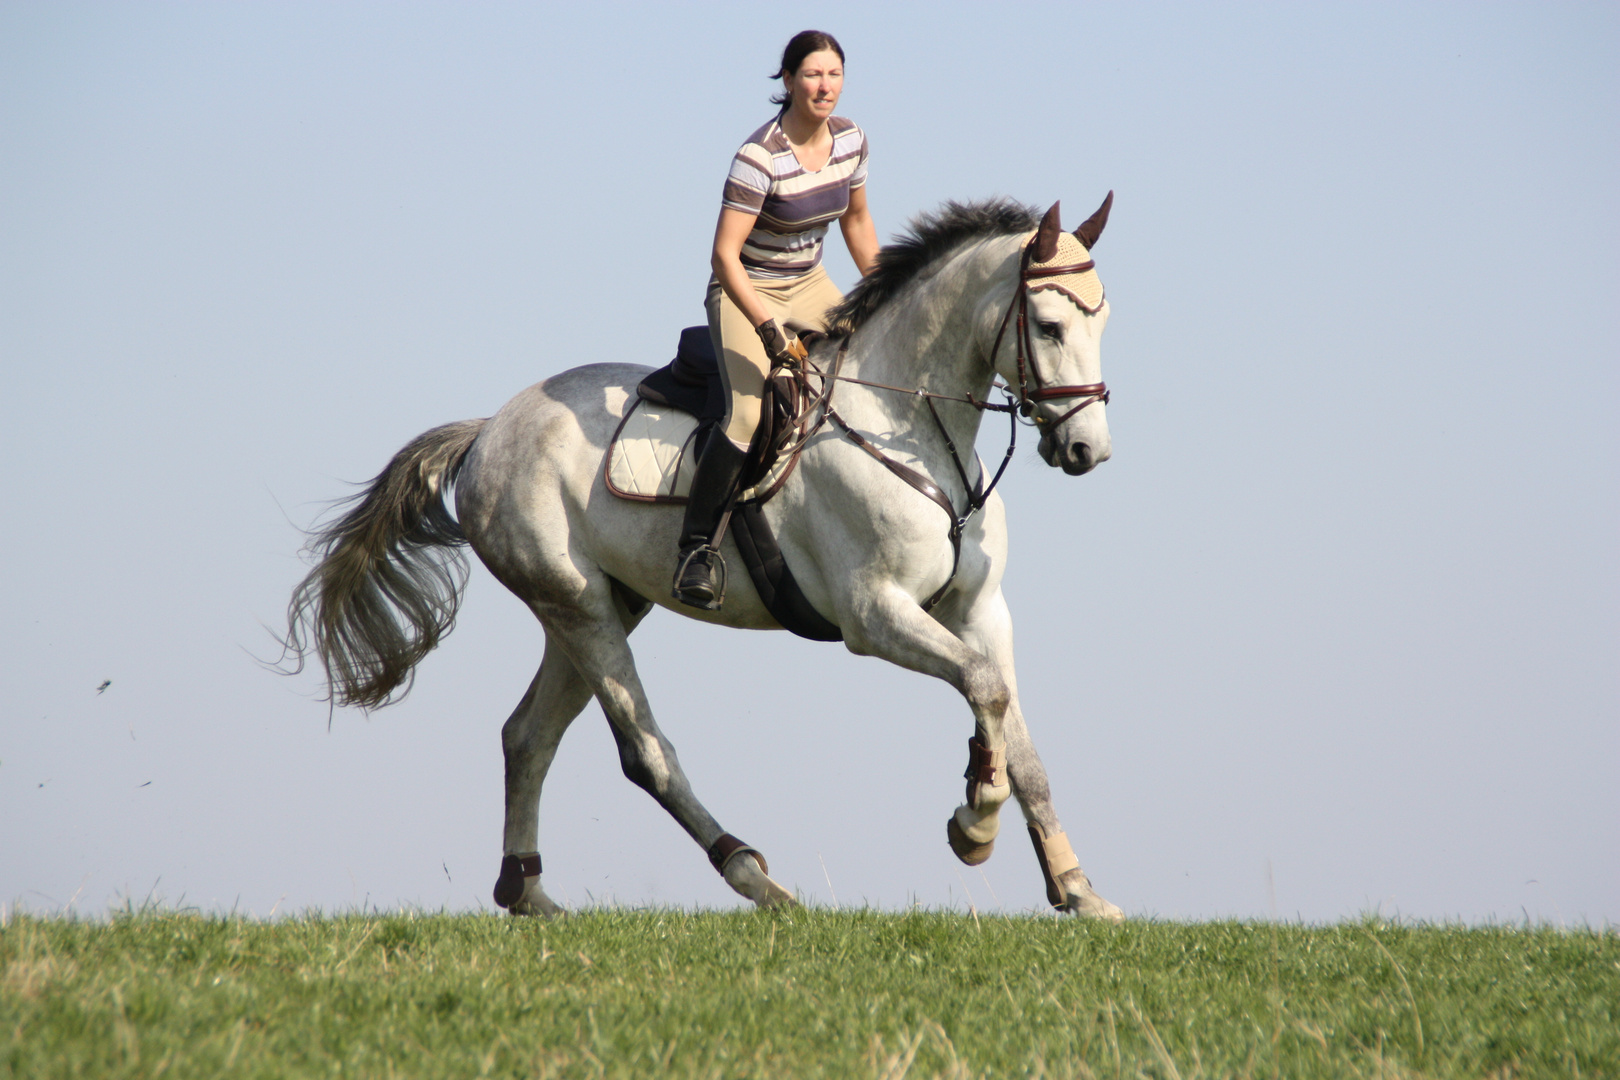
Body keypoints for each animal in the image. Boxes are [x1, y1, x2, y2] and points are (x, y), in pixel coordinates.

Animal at [285, 194, 1127, 919]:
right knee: (644, 751)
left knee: (527, 736)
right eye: (1050, 325)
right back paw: (757, 879)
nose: (1088, 450)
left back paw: (528, 896)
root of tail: (489, 429)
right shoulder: (873, 615)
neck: (909, 427)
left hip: (599, 605)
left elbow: (1015, 728)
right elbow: (983, 689)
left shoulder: (980, 610)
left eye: (1104, 321)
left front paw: (1076, 889)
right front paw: (974, 823)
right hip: (578, 605)